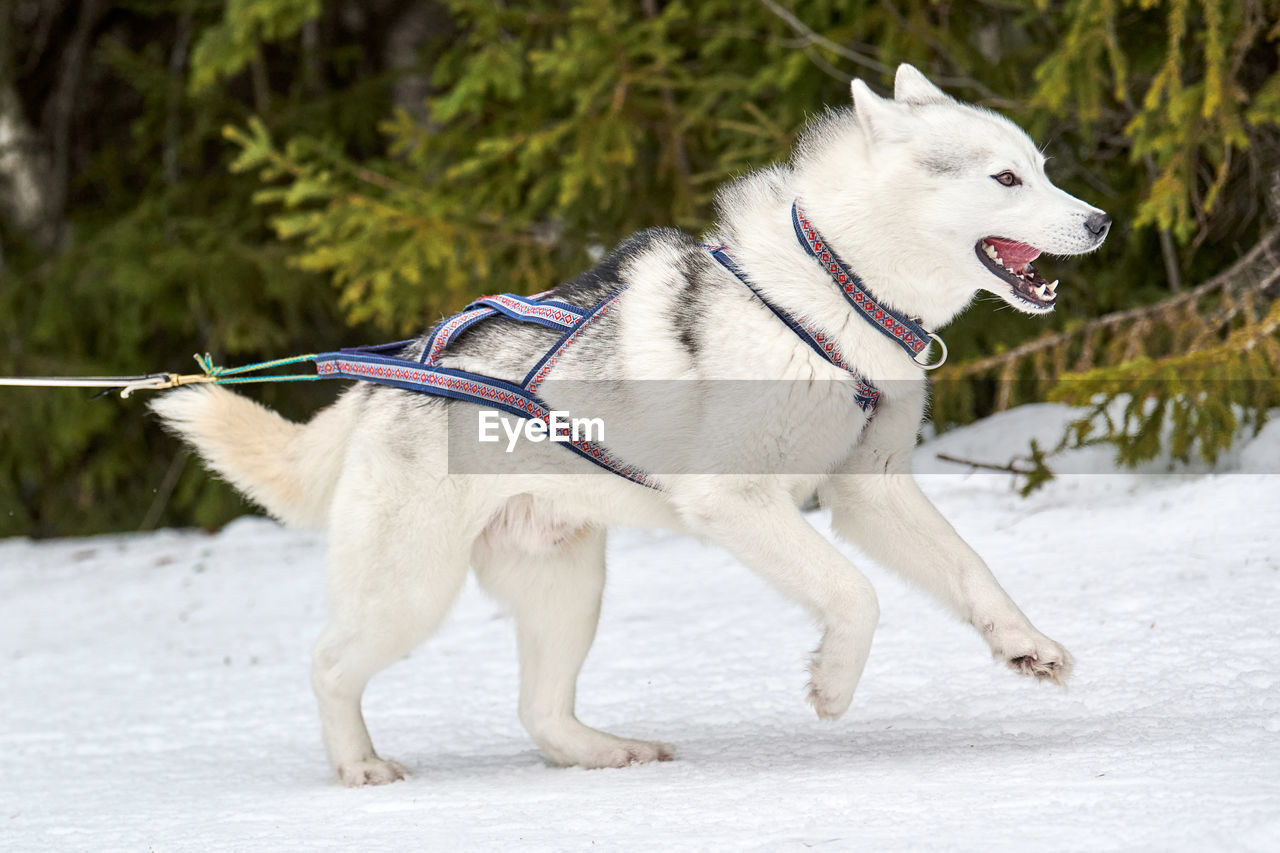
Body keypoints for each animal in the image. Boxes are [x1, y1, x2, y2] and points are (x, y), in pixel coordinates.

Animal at [149, 64, 1111, 783]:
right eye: (1005, 178)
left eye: (1041, 166)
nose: (1101, 219)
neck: (832, 294)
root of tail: (394, 371)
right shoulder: (737, 502)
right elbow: (855, 594)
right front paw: (833, 685)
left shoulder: (868, 489)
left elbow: (972, 570)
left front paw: (1026, 645)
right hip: (410, 592)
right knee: (327, 664)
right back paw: (359, 765)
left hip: (570, 588)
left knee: (540, 712)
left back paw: (606, 750)